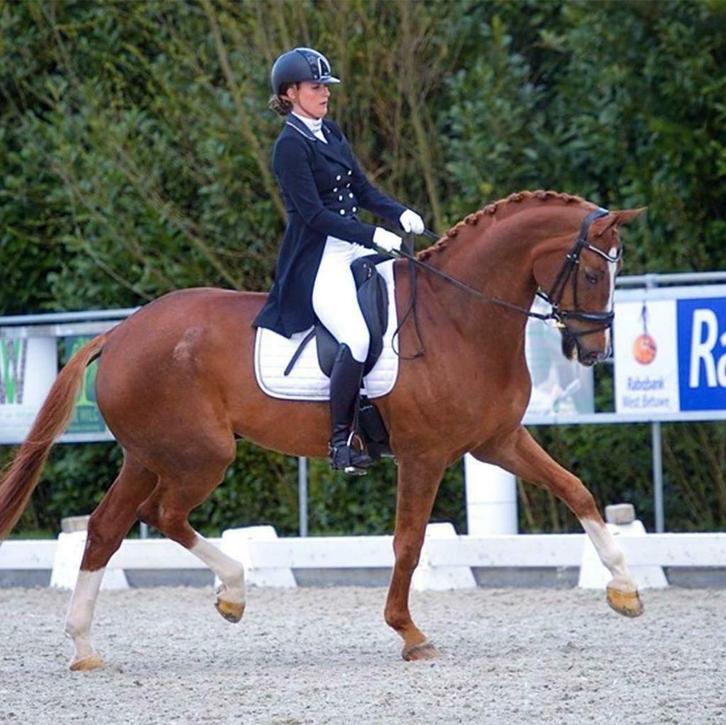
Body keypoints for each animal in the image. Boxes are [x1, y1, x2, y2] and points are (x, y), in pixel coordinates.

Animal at [0, 190, 644, 671]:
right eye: (592, 272)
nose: (594, 352)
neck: (458, 317)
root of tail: (120, 333)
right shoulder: (425, 455)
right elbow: (408, 542)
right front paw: (409, 633)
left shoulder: (499, 441)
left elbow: (578, 491)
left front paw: (625, 590)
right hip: (199, 456)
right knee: (160, 515)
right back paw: (232, 592)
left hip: (148, 455)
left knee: (107, 529)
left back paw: (85, 645)